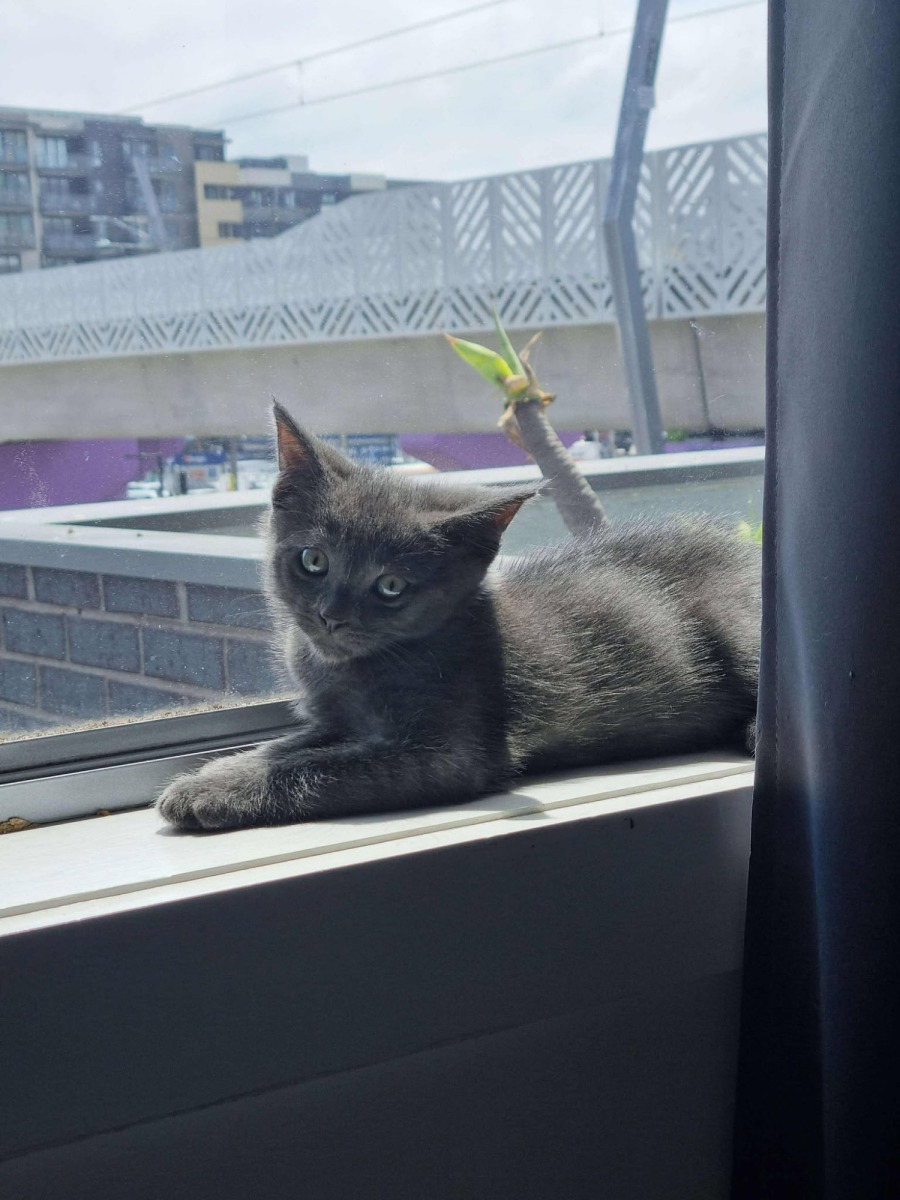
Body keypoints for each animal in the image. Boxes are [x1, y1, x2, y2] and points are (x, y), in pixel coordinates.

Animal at [156, 403, 760, 831]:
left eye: (391, 586)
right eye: (313, 560)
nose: (330, 617)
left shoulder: (447, 754)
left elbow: (325, 767)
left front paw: (211, 792)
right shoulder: (333, 722)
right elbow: (284, 748)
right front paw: (218, 773)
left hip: (735, 618)